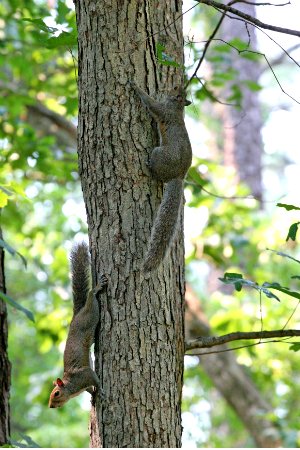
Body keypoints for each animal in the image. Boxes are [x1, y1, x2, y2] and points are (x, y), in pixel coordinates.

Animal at [47, 243, 107, 408]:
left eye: (56, 393)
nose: (51, 406)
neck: (70, 385)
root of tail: (75, 317)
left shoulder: (84, 375)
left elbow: (94, 379)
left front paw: (99, 390)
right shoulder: (83, 385)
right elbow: (90, 389)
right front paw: (93, 396)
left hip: (90, 316)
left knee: (91, 297)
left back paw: (96, 288)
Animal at [131, 81, 192, 270]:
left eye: (176, 90)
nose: (175, 84)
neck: (176, 106)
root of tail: (178, 177)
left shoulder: (162, 110)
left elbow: (151, 103)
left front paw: (135, 86)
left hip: (159, 153)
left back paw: (148, 166)